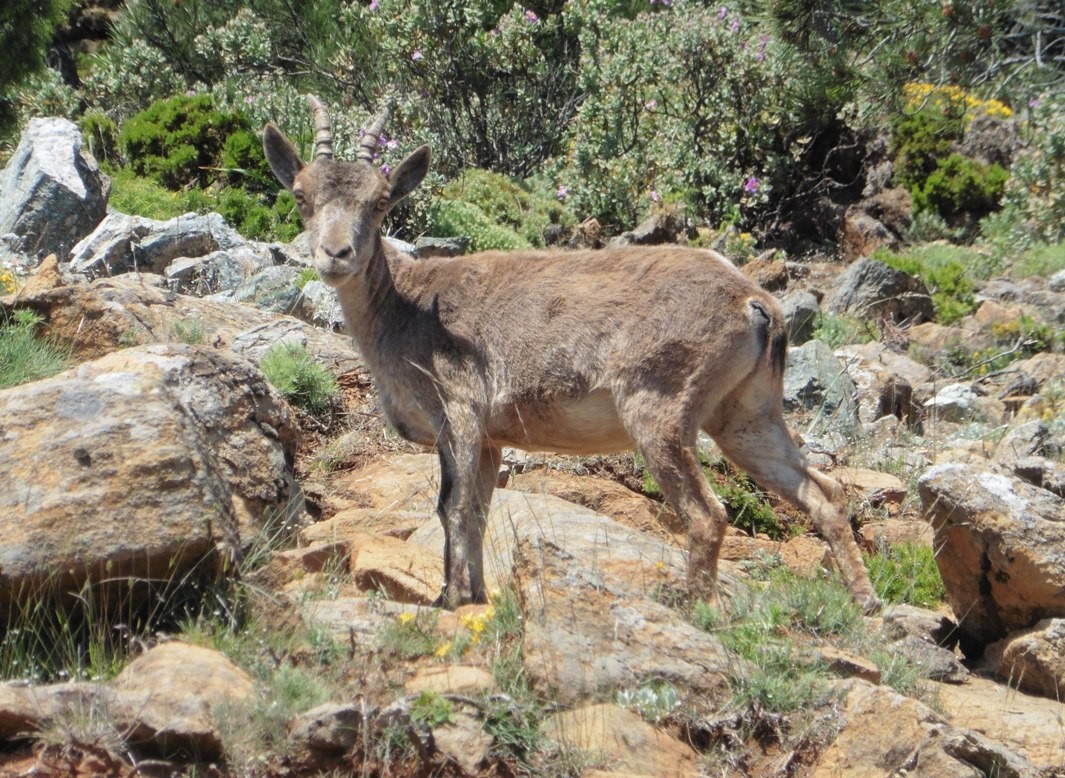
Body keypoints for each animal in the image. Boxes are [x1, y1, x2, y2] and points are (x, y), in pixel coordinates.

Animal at [261, 97, 877, 613]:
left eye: (381, 201)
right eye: (301, 195)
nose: (336, 253)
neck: (409, 309)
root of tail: (753, 300)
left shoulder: (458, 412)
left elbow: (450, 506)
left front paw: (448, 599)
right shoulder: (492, 437)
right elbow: (478, 511)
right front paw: (475, 595)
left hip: (659, 406)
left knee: (708, 513)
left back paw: (694, 606)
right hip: (746, 415)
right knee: (823, 492)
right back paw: (864, 602)